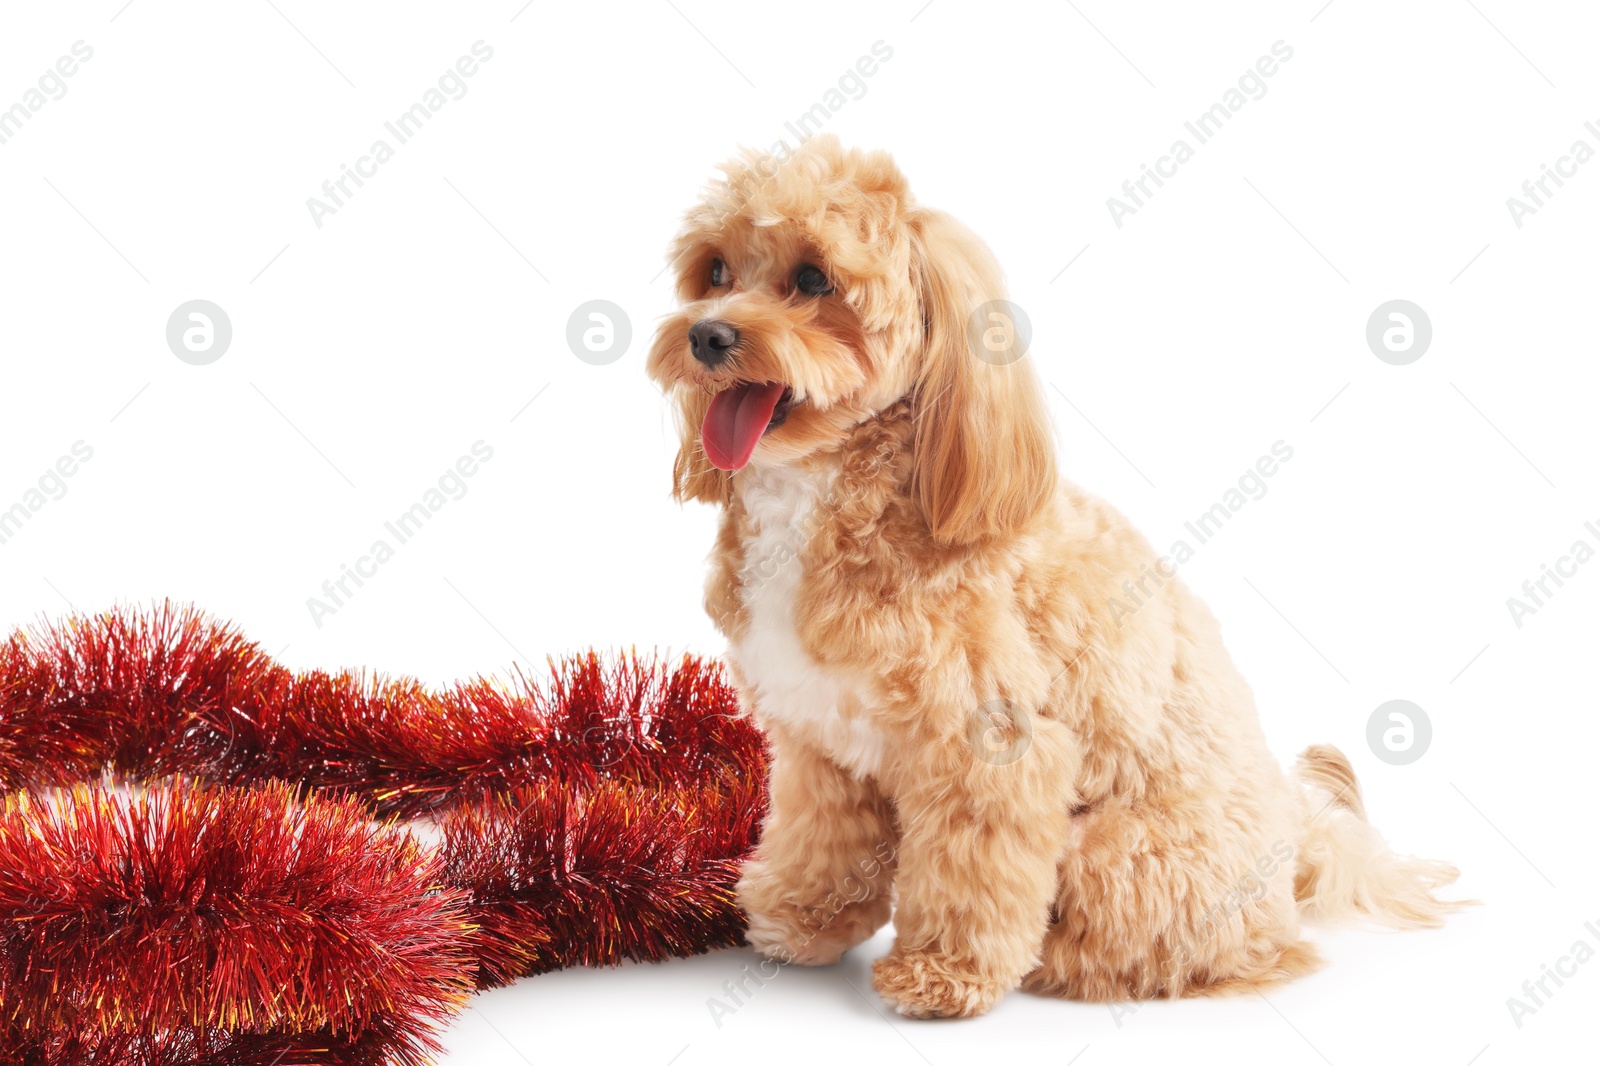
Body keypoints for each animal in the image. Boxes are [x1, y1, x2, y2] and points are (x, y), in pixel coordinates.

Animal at [640, 136, 1465, 1017]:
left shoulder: (991, 748)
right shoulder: (817, 742)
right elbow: (823, 840)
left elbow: (971, 871)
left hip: (1119, 852)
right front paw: (802, 918)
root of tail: (1296, 845)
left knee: (1180, 951)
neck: (830, 495)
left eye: (814, 279)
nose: (708, 337)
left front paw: (944, 973)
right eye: (715, 271)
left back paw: (1062, 962)